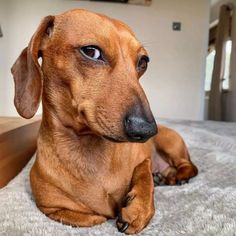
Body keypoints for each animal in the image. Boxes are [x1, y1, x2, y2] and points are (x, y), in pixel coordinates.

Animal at [11, 9, 197, 234]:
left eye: (143, 62)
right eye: (91, 52)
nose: (147, 130)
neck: (86, 147)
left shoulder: (144, 160)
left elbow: (145, 176)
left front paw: (138, 208)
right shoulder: (51, 209)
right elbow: (93, 218)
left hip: (171, 141)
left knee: (189, 165)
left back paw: (178, 176)